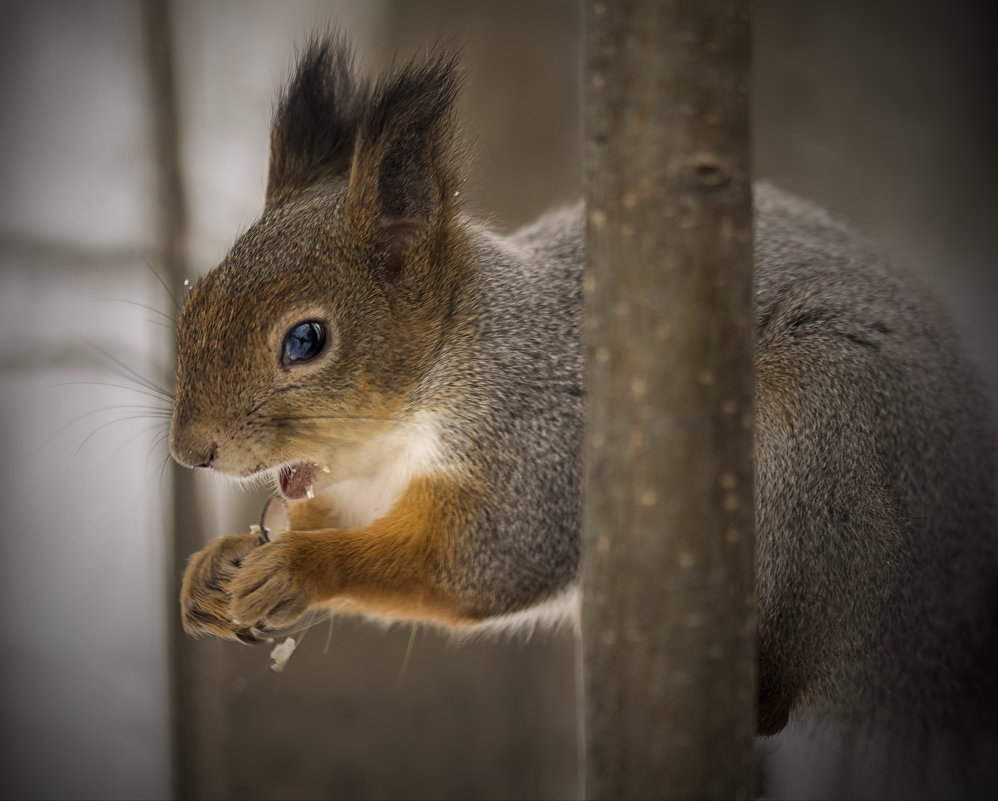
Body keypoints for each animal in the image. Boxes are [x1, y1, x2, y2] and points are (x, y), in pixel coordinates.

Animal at [172, 37, 998, 748]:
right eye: (191, 304)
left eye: (306, 340)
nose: (191, 452)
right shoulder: (367, 483)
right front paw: (213, 566)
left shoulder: (540, 439)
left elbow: (482, 561)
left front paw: (304, 567)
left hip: (824, 435)